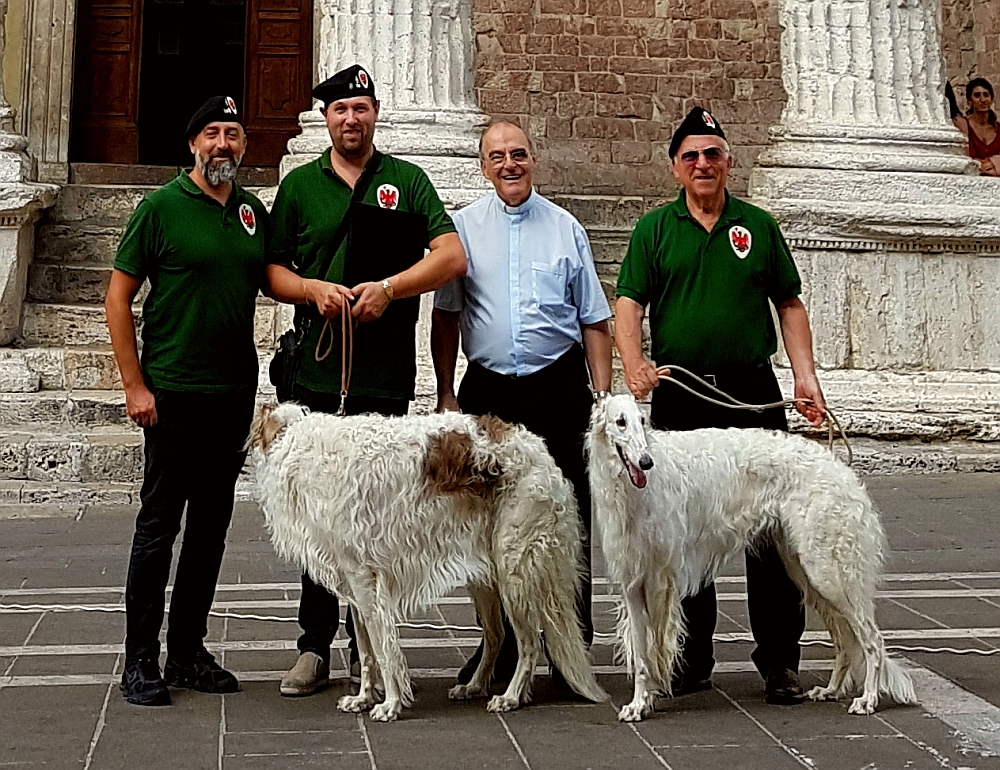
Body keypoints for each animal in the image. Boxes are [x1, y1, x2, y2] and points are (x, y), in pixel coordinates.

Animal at [250, 402, 608, 720]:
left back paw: (510, 697)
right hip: (486, 578)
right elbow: (366, 651)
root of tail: (539, 450)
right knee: (496, 636)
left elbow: (383, 650)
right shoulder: (355, 586)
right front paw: (363, 698)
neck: (299, 441)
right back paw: (474, 687)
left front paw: (390, 705)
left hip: (514, 571)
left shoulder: (365, 582)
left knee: (530, 642)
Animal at [584, 396, 920, 720]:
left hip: (830, 573)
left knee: (872, 640)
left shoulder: (658, 580)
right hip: (807, 572)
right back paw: (831, 690)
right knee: (846, 642)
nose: (646, 462)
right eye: (620, 422)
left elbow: (654, 652)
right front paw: (638, 704)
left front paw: (647, 699)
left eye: (642, 420)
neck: (632, 489)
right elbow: (642, 656)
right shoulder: (632, 582)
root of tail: (842, 470)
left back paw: (868, 699)